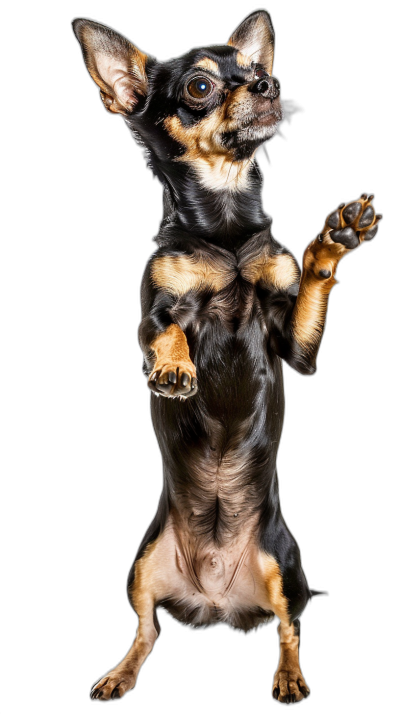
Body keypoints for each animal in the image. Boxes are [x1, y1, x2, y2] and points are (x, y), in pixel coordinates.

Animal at [72, 9, 382, 700]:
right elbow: (166, 333)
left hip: (284, 568)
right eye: (199, 87)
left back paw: (289, 678)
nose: (267, 86)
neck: (225, 220)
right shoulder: (152, 314)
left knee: (290, 629)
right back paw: (119, 674)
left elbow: (310, 286)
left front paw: (333, 241)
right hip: (140, 568)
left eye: (260, 70)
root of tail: (215, 605)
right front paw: (175, 367)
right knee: (148, 631)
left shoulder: (297, 349)